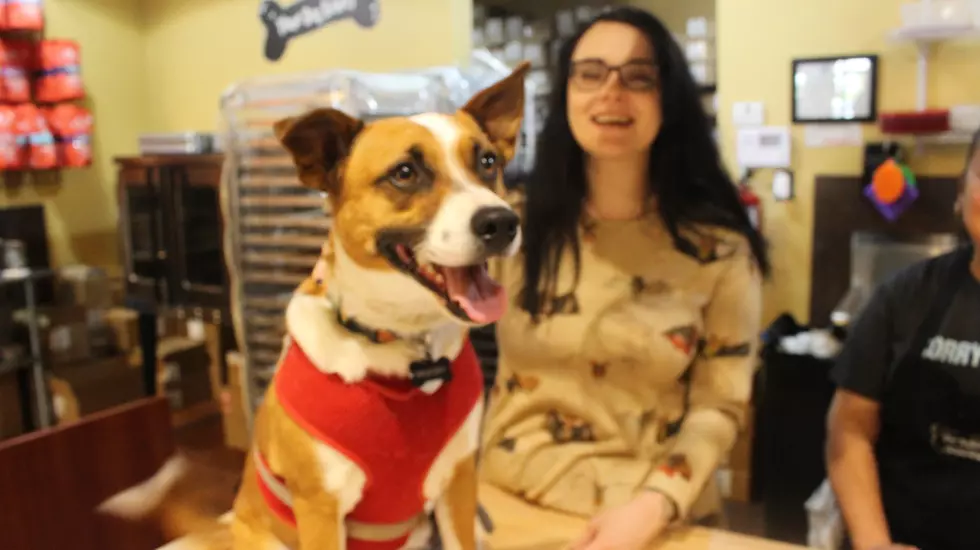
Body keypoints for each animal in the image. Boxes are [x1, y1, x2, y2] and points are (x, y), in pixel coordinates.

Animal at [98, 61, 528, 550]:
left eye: (488, 162)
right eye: (404, 172)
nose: (502, 223)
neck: (402, 348)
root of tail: (228, 524)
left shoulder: (457, 483)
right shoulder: (320, 507)